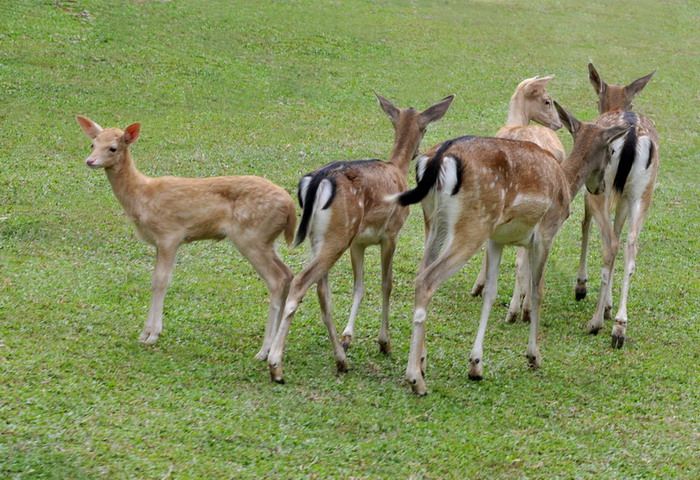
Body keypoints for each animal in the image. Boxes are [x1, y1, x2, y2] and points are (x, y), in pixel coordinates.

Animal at [76, 115, 296, 360]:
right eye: (92, 144)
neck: (141, 197)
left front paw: (153, 335)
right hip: (267, 240)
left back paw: (264, 351)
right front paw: (144, 333)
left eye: (113, 148)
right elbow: (154, 279)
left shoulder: (169, 234)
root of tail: (290, 207)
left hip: (251, 236)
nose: (90, 161)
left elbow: (161, 280)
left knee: (276, 279)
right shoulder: (159, 242)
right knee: (288, 274)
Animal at [266, 94, 456, 384]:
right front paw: (384, 342)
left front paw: (348, 337)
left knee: (322, 293)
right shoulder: (391, 233)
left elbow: (359, 286)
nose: (417, 152)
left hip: (322, 238)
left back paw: (341, 360)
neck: (397, 169)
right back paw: (276, 365)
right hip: (338, 235)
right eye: (425, 129)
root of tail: (317, 181)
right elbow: (386, 284)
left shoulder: (358, 242)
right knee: (300, 282)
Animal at [392, 103, 632, 396]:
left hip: (434, 223)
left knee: (420, 273)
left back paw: (423, 362)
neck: (566, 182)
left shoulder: (497, 240)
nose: (601, 187)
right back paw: (416, 378)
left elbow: (491, 293)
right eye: (611, 151)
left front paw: (476, 365)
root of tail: (438, 157)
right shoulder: (545, 233)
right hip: (474, 224)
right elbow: (538, 291)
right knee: (427, 280)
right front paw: (533, 355)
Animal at [468, 76, 568, 326]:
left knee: (523, 259)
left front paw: (478, 286)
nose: (559, 124)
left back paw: (515, 310)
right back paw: (528, 307)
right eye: (547, 101)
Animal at [572, 63, 660, 348]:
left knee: (610, 242)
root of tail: (631, 134)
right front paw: (609, 307)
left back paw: (595, 323)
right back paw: (619, 327)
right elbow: (619, 232)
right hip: (643, 191)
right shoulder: (623, 196)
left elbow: (586, 225)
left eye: (595, 98)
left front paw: (582, 287)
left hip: (604, 188)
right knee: (630, 245)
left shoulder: (592, 187)